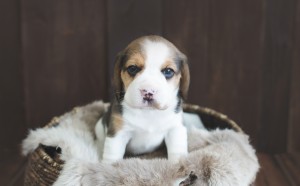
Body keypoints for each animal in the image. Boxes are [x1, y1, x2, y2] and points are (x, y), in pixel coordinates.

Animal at [95, 35, 190, 163]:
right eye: (133, 68)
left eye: (168, 71)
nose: (148, 92)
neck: (148, 112)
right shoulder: (118, 133)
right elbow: (112, 155)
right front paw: (109, 166)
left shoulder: (176, 129)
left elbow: (177, 151)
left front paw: (178, 164)